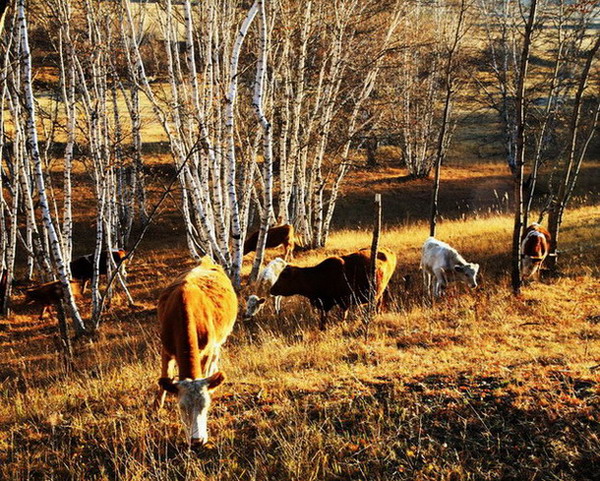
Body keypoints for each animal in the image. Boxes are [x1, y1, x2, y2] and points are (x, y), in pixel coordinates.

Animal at [157, 255, 237, 446]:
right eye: (181, 406)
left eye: (206, 405)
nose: (197, 440)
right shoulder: (166, 349)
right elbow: (165, 375)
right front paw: (156, 409)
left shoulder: (207, 351)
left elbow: (206, 371)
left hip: (219, 340)